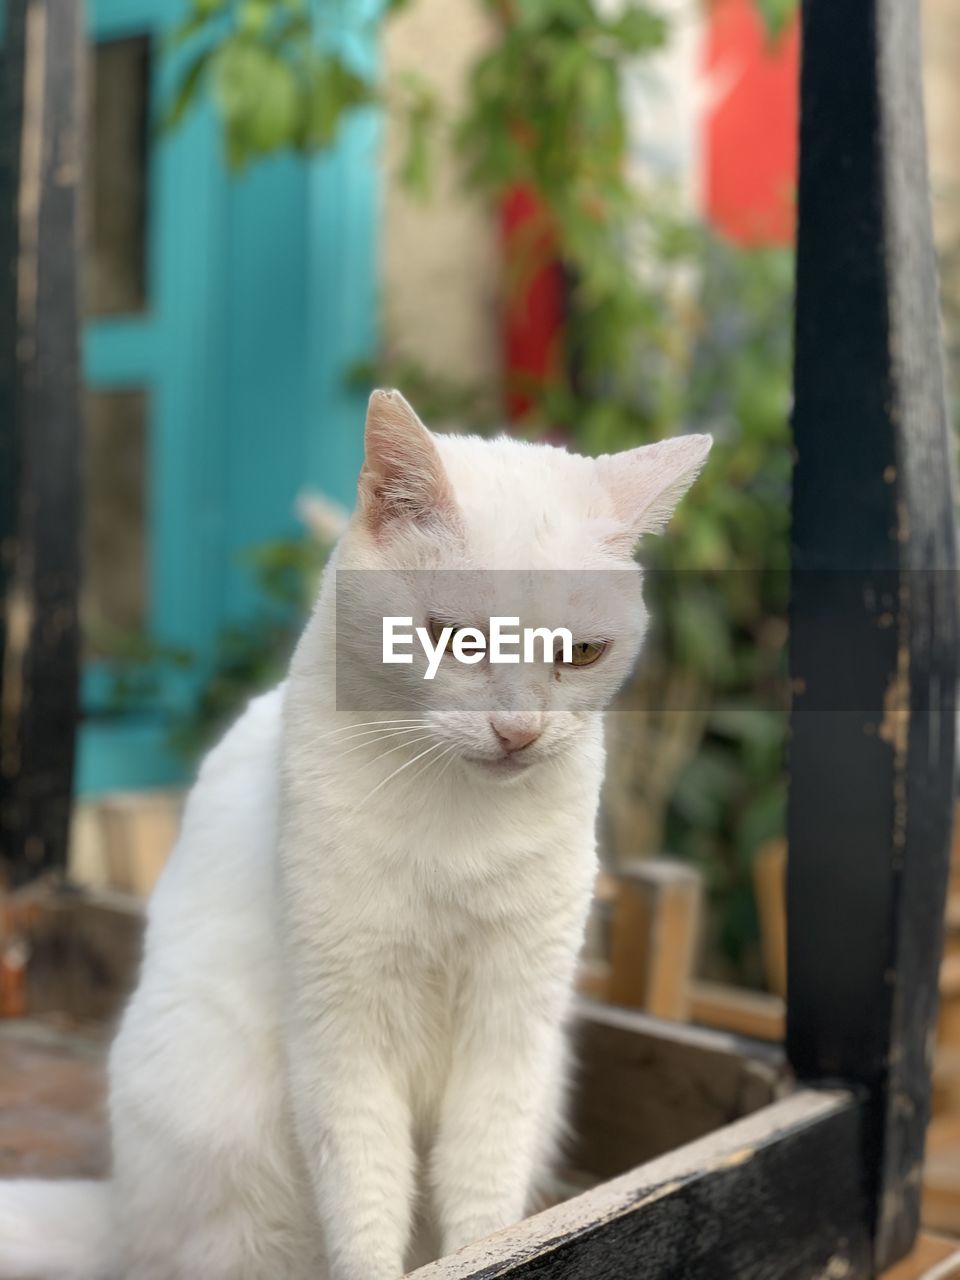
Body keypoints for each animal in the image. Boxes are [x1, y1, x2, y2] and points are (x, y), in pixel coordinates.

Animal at [0, 391, 706, 1280]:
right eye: (457, 638)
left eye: (581, 653)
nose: (519, 732)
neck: (456, 817)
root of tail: (119, 1217)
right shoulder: (342, 1034)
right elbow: (366, 1195)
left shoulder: (511, 1030)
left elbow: (484, 1197)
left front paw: (492, 1252)